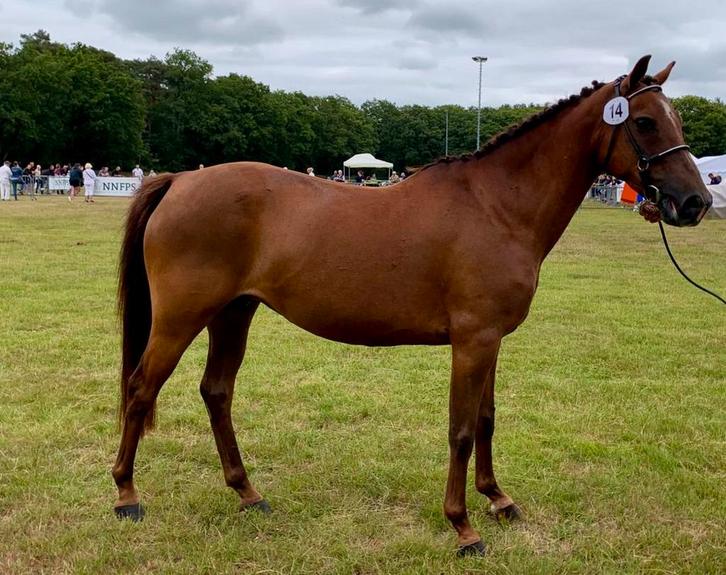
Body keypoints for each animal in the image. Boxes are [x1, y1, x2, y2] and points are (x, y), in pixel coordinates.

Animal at [112, 55, 711, 556]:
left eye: (677, 119)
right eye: (645, 123)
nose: (696, 202)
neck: (496, 207)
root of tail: (179, 181)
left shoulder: (491, 341)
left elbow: (487, 420)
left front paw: (498, 500)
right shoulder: (472, 341)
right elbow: (461, 430)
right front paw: (463, 527)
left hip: (233, 314)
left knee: (216, 392)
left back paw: (248, 493)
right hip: (181, 318)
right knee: (141, 390)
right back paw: (126, 496)